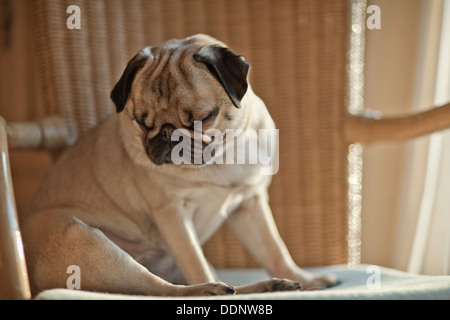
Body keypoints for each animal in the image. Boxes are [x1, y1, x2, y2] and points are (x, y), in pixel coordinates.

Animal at [21, 33, 338, 296]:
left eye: (204, 117)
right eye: (141, 122)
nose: (168, 133)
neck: (221, 157)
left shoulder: (250, 204)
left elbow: (274, 249)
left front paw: (304, 278)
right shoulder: (173, 214)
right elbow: (196, 264)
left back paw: (274, 284)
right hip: (89, 242)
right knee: (163, 288)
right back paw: (213, 289)